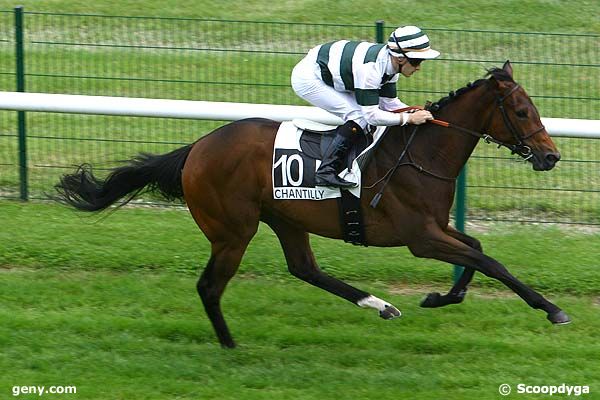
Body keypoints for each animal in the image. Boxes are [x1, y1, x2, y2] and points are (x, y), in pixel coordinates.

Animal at [54, 61, 568, 348]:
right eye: (521, 111)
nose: (550, 156)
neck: (420, 154)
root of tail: (196, 148)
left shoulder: (436, 229)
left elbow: (477, 251)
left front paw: (440, 297)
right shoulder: (421, 238)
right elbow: (491, 261)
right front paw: (551, 308)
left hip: (284, 218)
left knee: (304, 269)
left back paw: (380, 305)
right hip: (233, 231)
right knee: (209, 287)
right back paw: (229, 345)